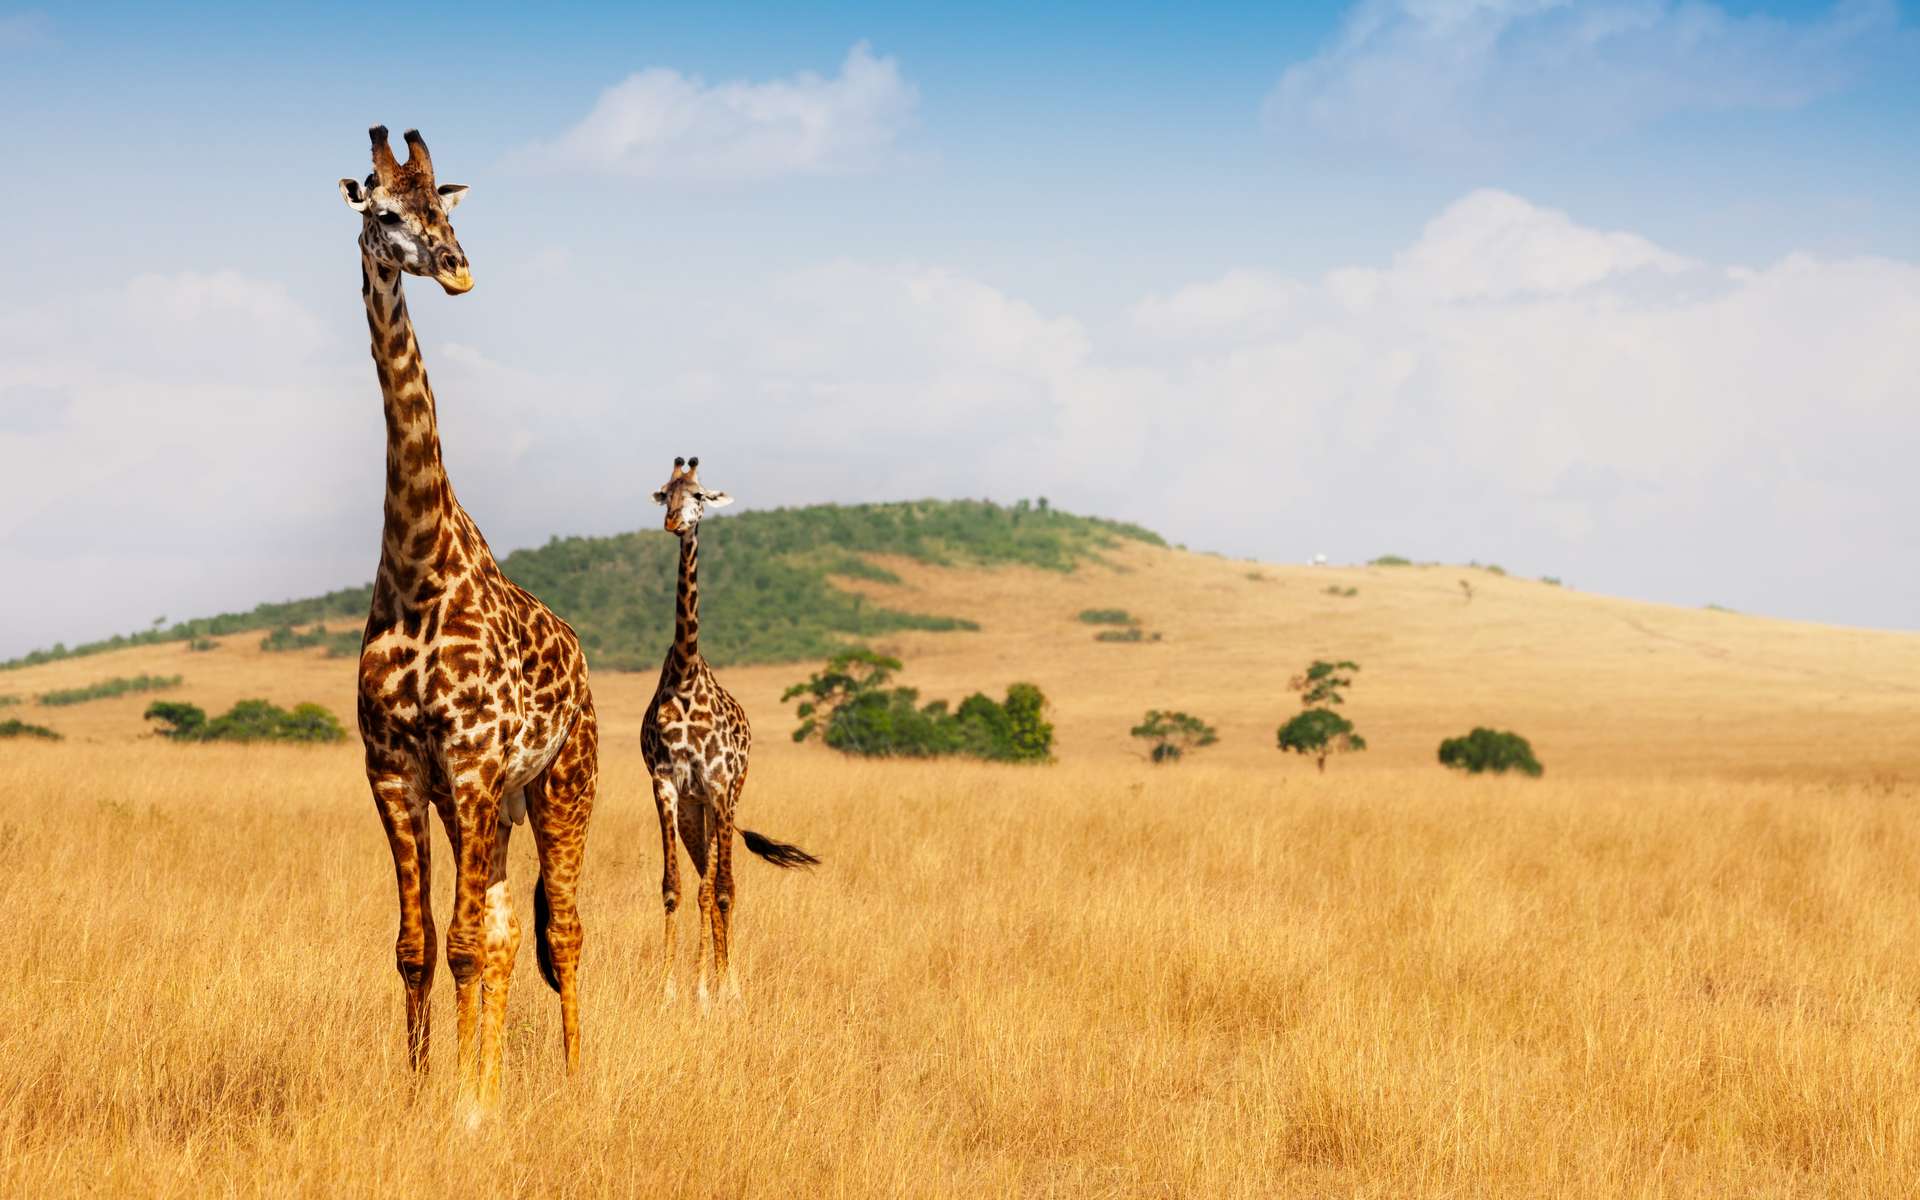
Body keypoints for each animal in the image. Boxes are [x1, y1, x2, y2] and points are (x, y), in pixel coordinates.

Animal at [338, 126, 597, 1117]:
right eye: (383, 212)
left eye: (443, 209)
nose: (458, 269)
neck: (417, 564)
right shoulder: (397, 770)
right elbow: (418, 947)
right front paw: (428, 1094)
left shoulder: (477, 761)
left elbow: (458, 946)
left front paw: (468, 1110)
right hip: (488, 806)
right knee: (502, 927)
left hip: (563, 784)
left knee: (560, 931)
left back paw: (572, 1078)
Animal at [641, 456, 819, 1009]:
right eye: (665, 492)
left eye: (699, 495)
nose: (673, 522)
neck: (683, 675)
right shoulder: (666, 786)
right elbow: (675, 886)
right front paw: (670, 992)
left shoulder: (718, 785)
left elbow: (715, 890)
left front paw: (711, 993)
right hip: (696, 811)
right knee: (705, 877)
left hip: (729, 798)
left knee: (724, 885)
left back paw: (728, 986)